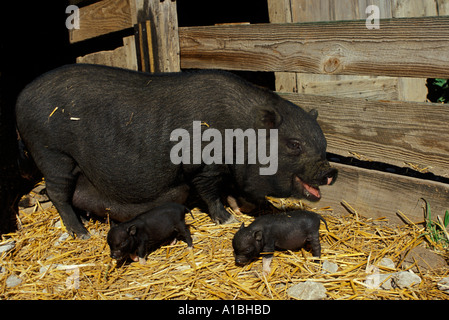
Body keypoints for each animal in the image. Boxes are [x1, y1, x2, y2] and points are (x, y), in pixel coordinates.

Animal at [14, 63, 336, 239]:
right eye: (294, 144)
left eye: (323, 144)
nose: (330, 170)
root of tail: (19, 99)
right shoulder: (204, 165)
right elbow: (209, 191)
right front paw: (228, 219)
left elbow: (235, 190)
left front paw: (250, 208)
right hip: (53, 154)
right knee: (57, 193)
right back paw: (81, 234)